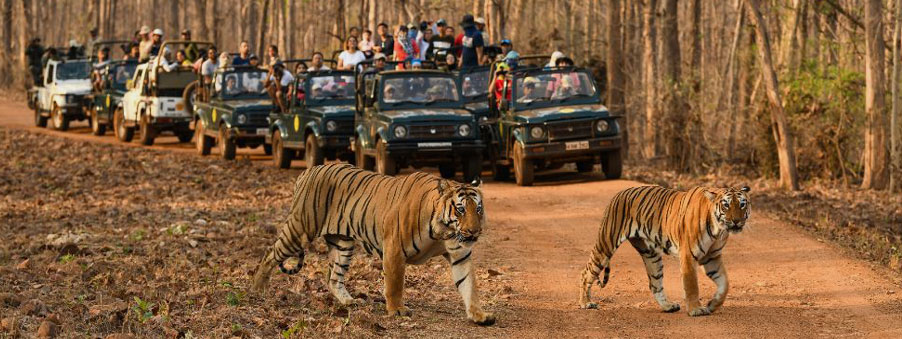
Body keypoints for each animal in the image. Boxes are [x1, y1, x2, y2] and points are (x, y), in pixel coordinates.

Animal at [251, 163, 498, 328]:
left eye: (477, 209)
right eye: (460, 209)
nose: (474, 231)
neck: (442, 232)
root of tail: (308, 171)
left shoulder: (460, 254)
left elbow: (469, 285)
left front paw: (479, 315)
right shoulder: (394, 249)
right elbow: (395, 284)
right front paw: (397, 310)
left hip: (343, 244)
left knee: (333, 276)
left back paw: (349, 302)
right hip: (300, 228)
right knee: (270, 253)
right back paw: (258, 289)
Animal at [584, 185, 752, 318]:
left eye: (742, 204)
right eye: (726, 205)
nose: (737, 221)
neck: (718, 229)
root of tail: (618, 194)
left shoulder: (712, 257)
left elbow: (725, 284)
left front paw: (712, 304)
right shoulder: (688, 255)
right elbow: (692, 284)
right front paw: (696, 310)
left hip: (651, 255)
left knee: (655, 284)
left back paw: (668, 306)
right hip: (606, 244)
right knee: (586, 272)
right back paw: (586, 303)